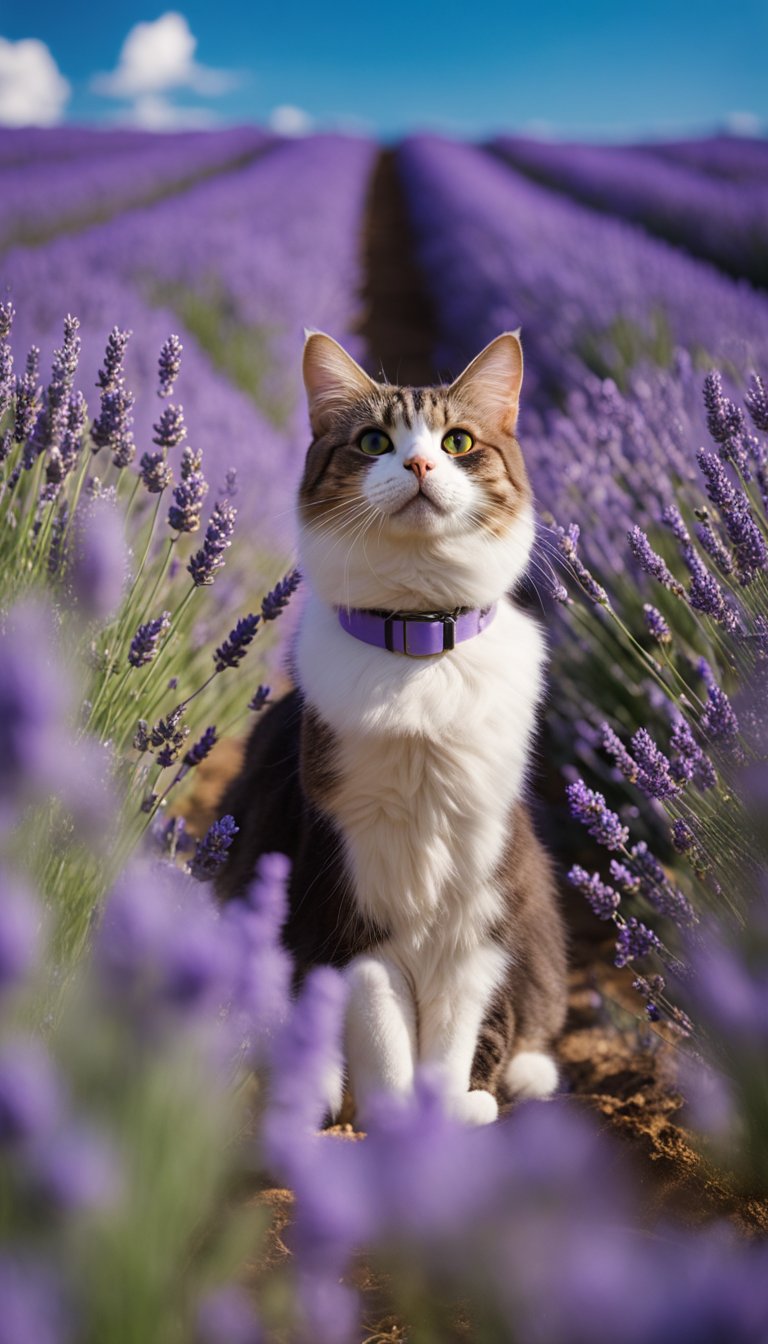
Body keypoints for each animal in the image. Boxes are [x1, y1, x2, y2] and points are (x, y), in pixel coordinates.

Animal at [215, 327, 564, 1123]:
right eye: (374, 440)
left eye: (458, 441)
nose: (420, 462)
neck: (419, 646)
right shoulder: (349, 911)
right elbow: (383, 1040)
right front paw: (395, 1130)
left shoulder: (479, 916)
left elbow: (452, 1042)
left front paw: (440, 1122)